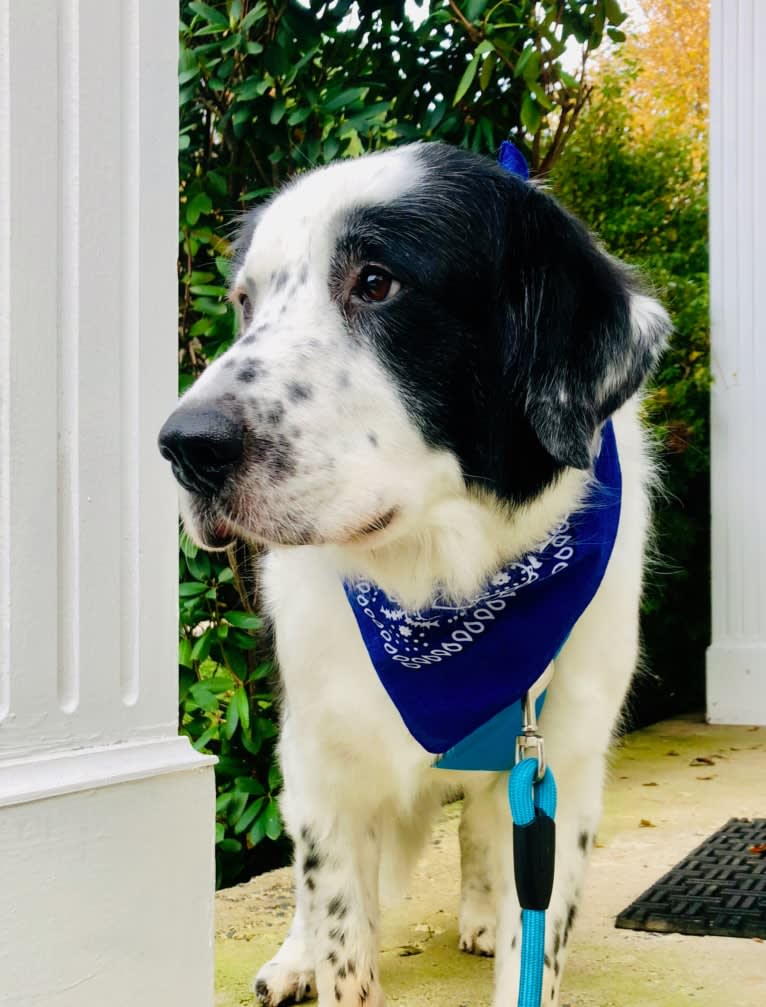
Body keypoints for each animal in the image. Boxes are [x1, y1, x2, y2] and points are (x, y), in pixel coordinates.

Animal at [158, 144, 668, 1007]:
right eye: (245, 303)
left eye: (377, 282)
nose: (185, 445)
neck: (441, 592)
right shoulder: (326, 765)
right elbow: (337, 927)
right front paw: (316, 959)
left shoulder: (561, 765)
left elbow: (533, 938)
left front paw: (504, 927)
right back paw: (292, 959)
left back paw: (485, 912)